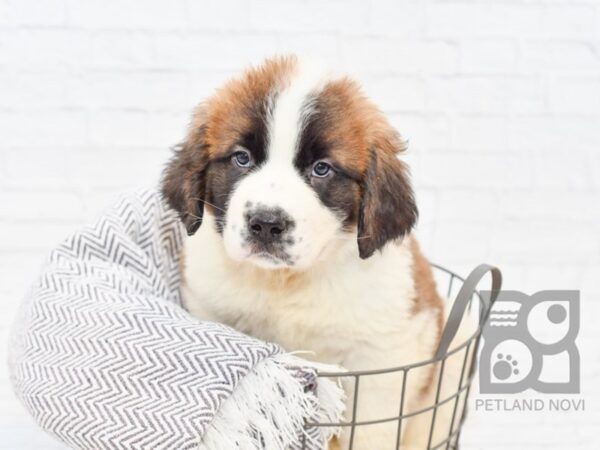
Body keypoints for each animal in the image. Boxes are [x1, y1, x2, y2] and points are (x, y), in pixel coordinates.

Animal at [163, 56, 468, 450]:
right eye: (241, 159)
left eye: (321, 169)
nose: (266, 223)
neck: (288, 282)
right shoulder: (209, 310)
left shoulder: (380, 360)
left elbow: (368, 433)